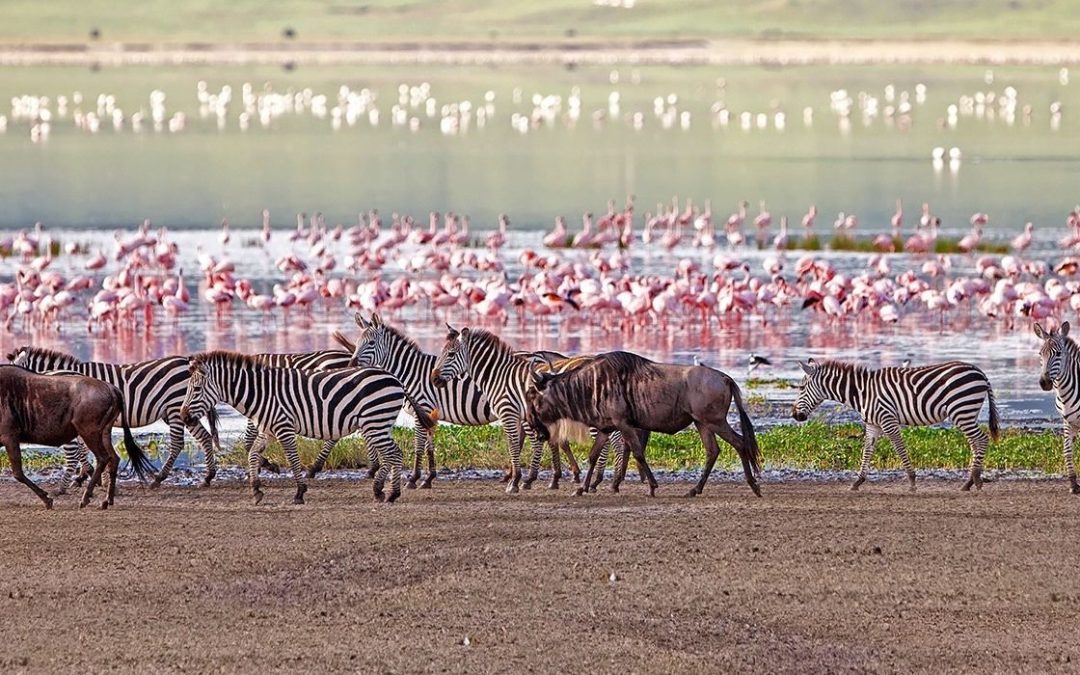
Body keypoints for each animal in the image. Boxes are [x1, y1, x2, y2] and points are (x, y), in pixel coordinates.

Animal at [4, 347, 219, 490]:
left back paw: (159, 479)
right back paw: (208, 476)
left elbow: (81, 449)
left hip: (175, 407)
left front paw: (89, 475)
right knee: (204, 437)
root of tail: (186, 361)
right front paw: (89, 475)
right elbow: (84, 449)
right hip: (182, 411)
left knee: (177, 443)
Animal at [177, 352, 429, 501]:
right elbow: (252, 454)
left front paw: (299, 491)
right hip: (377, 424)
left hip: (375, 422)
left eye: (196, 390)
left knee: (394, 453)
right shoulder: (268, 430)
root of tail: (395, 379)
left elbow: (292, 458)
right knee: (391, 454)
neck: (261, 393)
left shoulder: (284, 427)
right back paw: (381, 490)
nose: (184, 416)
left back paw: (391, 493)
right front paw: (256, 489)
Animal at [790, 358, 997, 490]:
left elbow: (899, 448)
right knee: (975, 442)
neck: (862, 392)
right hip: (966, 412)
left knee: (982, 439)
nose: (794, 415)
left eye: (801, 388)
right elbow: (867, 451)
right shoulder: (873, 425)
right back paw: (969, 482)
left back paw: (975, 480)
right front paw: (857, 482)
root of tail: (979, 372)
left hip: (961, 410)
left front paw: (912, 482)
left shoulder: (887, 420)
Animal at [1028, 321, 1080, 494]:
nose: (1044, 383)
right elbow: (1067, 451)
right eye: (1040, 354)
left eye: (1058, 354)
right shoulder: (1068, 422)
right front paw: (1073, 484)